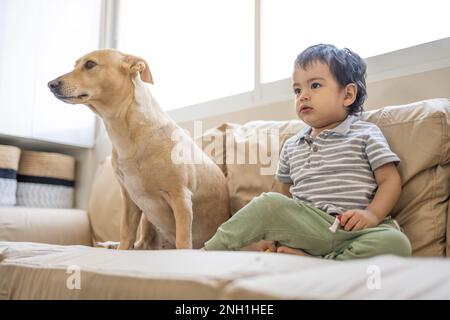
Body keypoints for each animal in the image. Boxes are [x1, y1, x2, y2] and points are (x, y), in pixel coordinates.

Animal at [48, 49, 230, 250]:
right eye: (75, 65)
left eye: (90, 64)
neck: (127, 133)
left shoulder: (181, 198)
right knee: (140, 244)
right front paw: (120, 248)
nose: (50, 84)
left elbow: (183, 241)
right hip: (147, 220)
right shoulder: (130, 201)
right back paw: (111, 244)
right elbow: (126, 235)